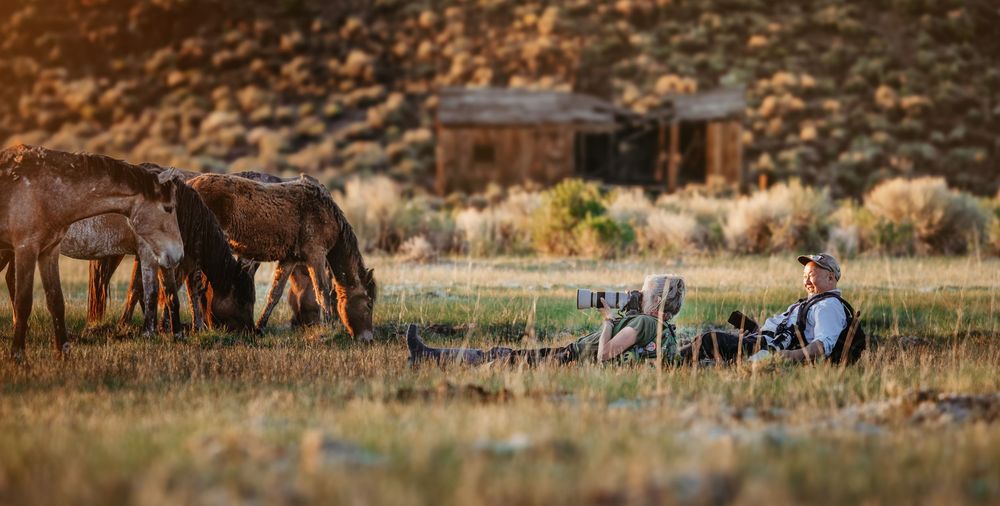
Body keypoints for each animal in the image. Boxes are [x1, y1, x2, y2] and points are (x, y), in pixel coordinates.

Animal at [0, 144, 183, 360]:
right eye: (168, 208)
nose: (178, 253)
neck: (46, 191)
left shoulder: (49, 251)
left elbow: (56, 301)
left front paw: (64, 353)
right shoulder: (26, 249)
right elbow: (24, 302)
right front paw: (18, 356)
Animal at [189, 173, 376, 341]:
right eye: (369, 304)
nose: (368, 339)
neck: (325, 212)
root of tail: (190, 184)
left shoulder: (290, 259)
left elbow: (275, 293)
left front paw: (260, 327)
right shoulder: (316, 255)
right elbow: (323, 292)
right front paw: (329, 329)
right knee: (193, 286)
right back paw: (198, 327)